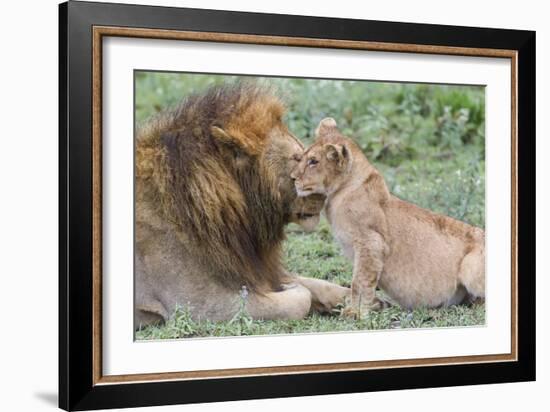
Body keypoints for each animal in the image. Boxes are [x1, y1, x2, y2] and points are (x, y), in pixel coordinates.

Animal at [135, 83, 348, 328]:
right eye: (296, 160)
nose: (325, 194)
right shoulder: (200, 306)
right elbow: (299, 299)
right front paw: (291, 288)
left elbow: (319, 284)